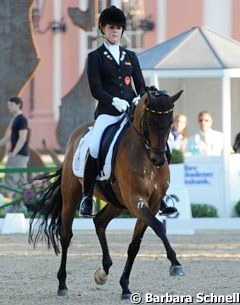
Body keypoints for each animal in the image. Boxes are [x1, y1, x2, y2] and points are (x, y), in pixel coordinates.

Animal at [29, 86, 185, 298]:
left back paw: (104, 270)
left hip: (117, 203)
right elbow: (159, 227)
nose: (159, 160)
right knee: (66, 235)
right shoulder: (136, 201)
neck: (144, 156)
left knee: (100, 222)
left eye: (170, 123)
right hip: (71, 197)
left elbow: (135, 245)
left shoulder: (151, 205)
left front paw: (125, 286)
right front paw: (175, 264)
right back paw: (62, 285)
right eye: (150, 122)